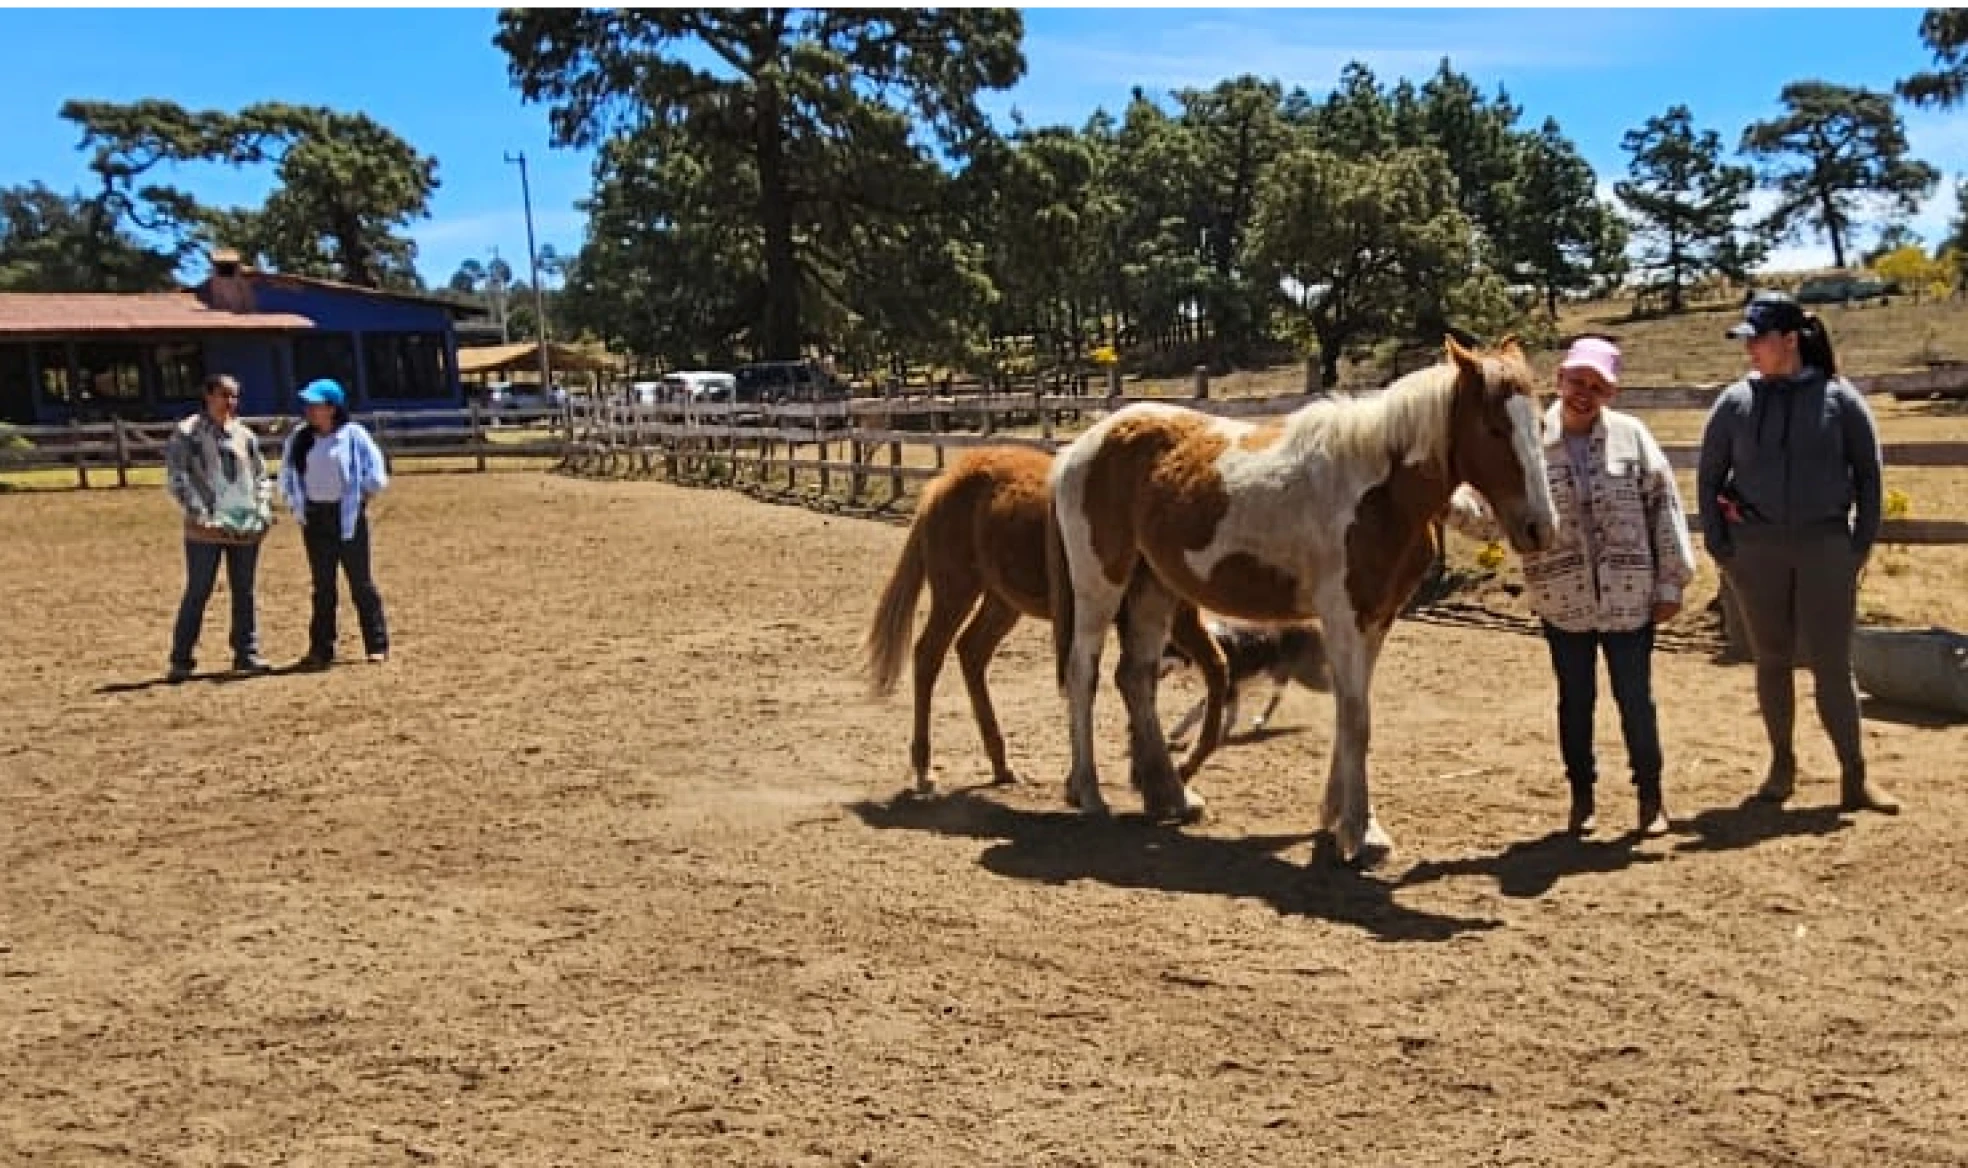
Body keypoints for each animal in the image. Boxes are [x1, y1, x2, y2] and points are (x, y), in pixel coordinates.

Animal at [861, 443, 1228, 791]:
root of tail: (943, 482)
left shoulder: (1178, 618)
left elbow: (1211, 668)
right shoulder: (1164, 618)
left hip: (1002, 602)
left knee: (971, 652)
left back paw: (1001, 765)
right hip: (956, 591)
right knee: (928, 655)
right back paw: (925, 770)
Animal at [1046, 332, 1550, 862]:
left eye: (1539, 424)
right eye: (1493, 428)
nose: (1539, 527)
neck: (1377, 493)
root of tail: (1079, 448)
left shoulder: (1377, 618)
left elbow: (1351, 713)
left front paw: (1341, 819)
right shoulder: (1343, 617)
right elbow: (1357, 717)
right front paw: (1359, 830)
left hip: (1153, 588)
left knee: (1136, 679)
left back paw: (1172, 795)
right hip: (1099, 584)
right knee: (1083, 675)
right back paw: (1089, 792)